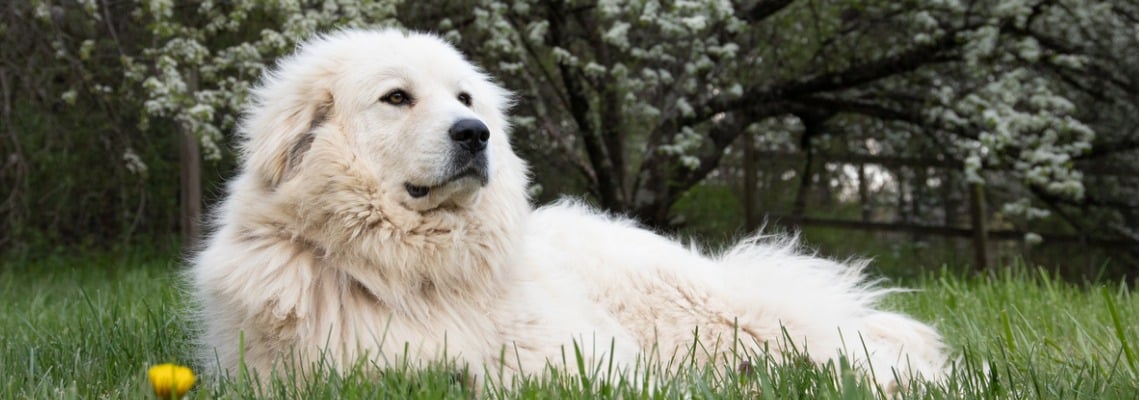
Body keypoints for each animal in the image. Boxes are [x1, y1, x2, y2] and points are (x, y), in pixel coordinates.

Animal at [191, 28, 948, 392]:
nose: (476, 135)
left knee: (856, 355)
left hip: (728, 319)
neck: (414, 273)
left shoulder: (580, 360)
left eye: (464, 98)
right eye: (396, 98)